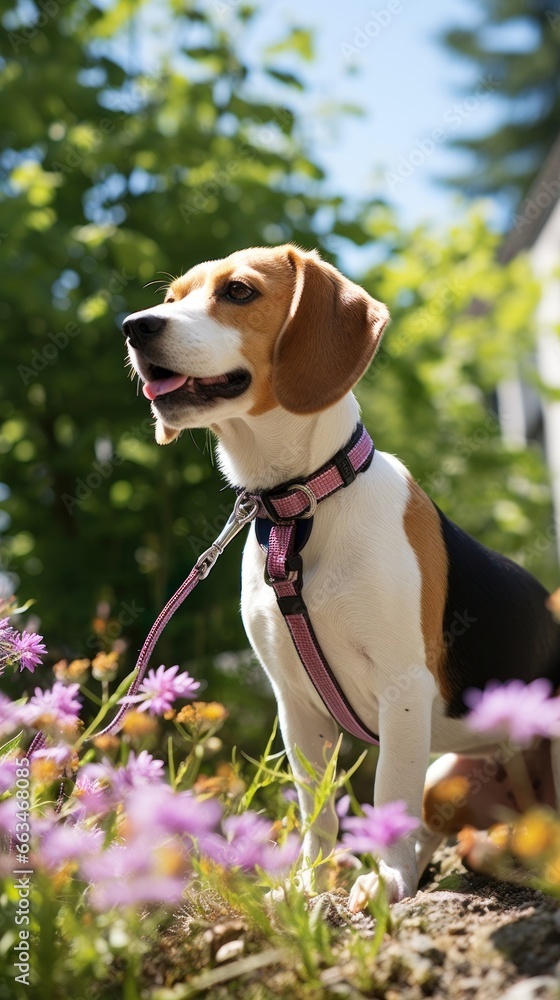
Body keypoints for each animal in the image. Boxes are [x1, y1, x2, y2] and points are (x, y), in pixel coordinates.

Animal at [122, 244, 560, 916]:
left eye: (239, 292)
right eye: (171, 300)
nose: (134, 327)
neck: (298, 508)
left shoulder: (402, 687)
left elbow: (388, 792)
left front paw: (385, 882)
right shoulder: (296, 702)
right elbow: (317, 806)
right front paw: (309, 882)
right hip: (449, 777)